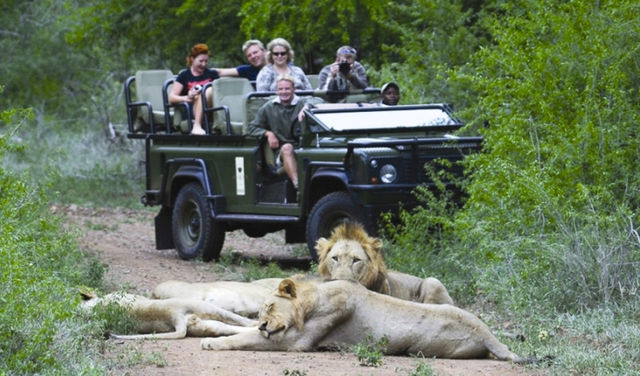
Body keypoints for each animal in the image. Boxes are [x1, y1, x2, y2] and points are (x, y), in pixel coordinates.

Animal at [202, 276, 532, 364]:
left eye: (270, 306)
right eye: (260, 313)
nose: (263, 324)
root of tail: (487, 333)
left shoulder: (296, 342)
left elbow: (244, 338)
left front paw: (210, 342)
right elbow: (242, 330)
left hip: (423, 346)